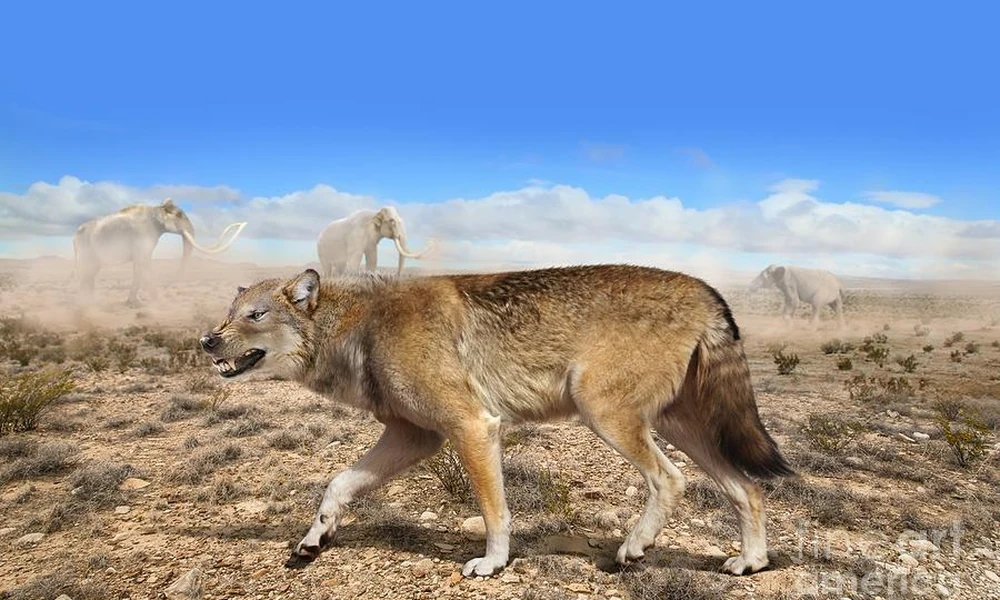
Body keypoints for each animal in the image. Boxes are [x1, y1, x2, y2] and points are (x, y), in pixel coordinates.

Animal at [199, 264, 794, 578]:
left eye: (254, 316)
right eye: (227, 316)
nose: (205, 340)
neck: (363, 326)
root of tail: (709, 289)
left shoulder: (473, 427)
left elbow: (494, 511)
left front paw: (492, 564)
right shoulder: (416, 436)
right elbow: (339, 483)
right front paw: (314, 539)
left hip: (607, 416)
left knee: (672, 480)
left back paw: (633, 548)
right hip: (678, 429)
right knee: (748, 489)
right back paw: (750, 564)